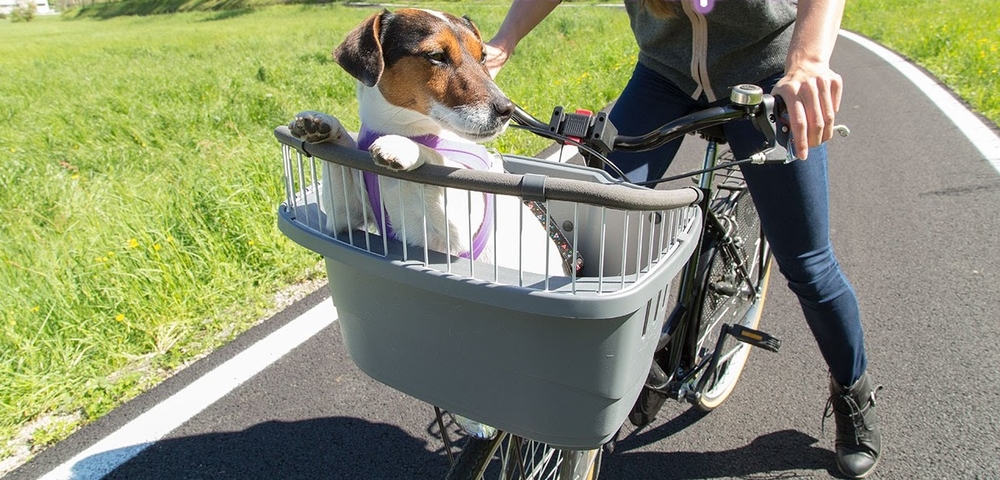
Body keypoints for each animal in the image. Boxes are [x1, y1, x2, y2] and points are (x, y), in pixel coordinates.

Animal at [290, 7, 572, 276]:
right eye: (436, 55)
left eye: (482, 56)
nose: (507, 109)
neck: (407, 128)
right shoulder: (343, 220)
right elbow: (343, 158)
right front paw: (321, 124)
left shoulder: (458, 229)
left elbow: (438, 157)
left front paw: (404, 146)